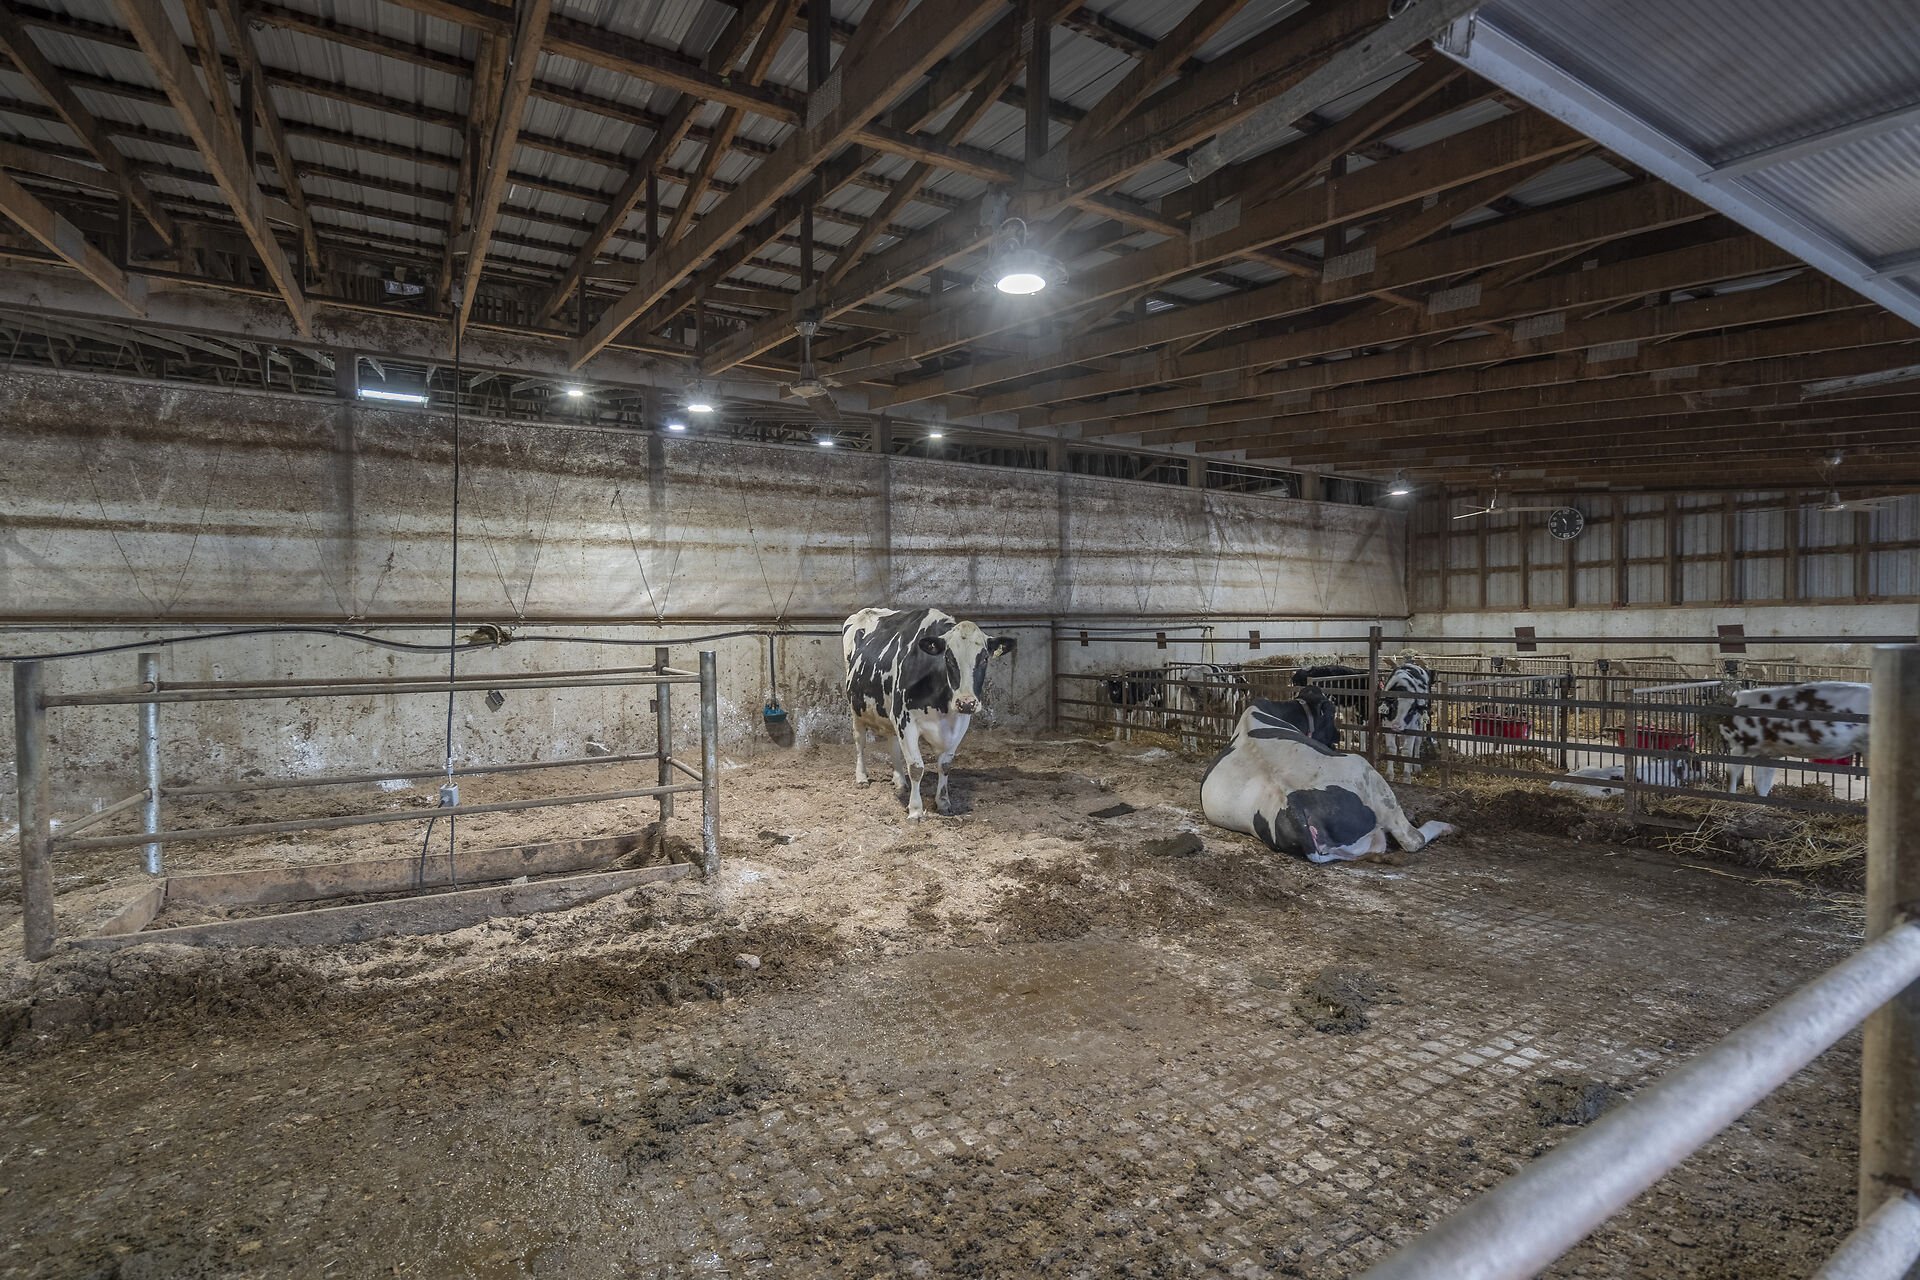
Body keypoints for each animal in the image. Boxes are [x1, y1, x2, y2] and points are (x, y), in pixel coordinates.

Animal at [843, 607, 1017, 819]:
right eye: (949, 659)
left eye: (984, 659)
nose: (967, 703)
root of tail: (869, 610)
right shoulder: (905, 720)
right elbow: (916, 767)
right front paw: (915, 810)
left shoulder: (959, 723)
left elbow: (945, 765)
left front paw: (943, 802)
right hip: (856, 709)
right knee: (860, 741)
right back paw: (862, 778)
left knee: (893, 743)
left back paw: (900, 781)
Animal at [1201, 701, 1452, 863]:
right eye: (1330, 714)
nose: (1338, 736)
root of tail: (1291, 805)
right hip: (1366, 771)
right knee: (1411, 839)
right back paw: (1445, 826)